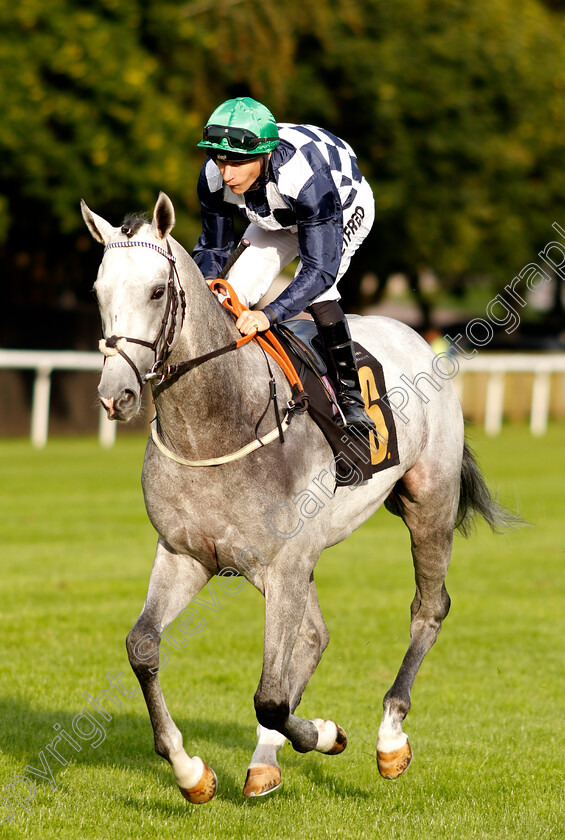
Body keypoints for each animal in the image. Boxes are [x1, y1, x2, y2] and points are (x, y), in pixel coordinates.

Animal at [81, 194, 508, 804]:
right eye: (98, 291)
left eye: (158, 291)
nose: (115, 395)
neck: (216, 423)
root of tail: (412, 335)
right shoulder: (187, 553)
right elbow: (143, 647)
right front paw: (190, 771)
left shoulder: (283, 563)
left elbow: (270, 697)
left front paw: (328, 734)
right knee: (311, 637)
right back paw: (265, 762)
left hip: (429, 502)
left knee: (427, 609)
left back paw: (389, 737)